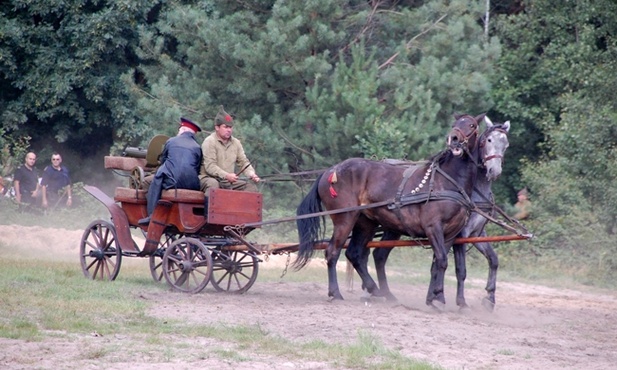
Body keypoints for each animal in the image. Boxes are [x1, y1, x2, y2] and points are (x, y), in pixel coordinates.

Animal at [294, 114, 482, 308]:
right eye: (454, 124)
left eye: (471, 125)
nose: (454, 139)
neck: (447, 181)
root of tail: (330, 171)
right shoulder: (433, 227)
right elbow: (442, 261)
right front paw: (436, 298)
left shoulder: (451, 233)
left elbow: (438, 264)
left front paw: (435, 297)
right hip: (345, 219)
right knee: (332, 252)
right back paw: (336, 293)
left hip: (365, 223)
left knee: (354, 254)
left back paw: (378, 291)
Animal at [360, 117, 510, 310]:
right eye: (488, 140)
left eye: (506, 144)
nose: (494, 171)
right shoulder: (460, 234)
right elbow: (459, 269)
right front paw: (459, 302)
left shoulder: (476, 233)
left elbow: (493, 259)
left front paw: (489, 298)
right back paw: (369, 292)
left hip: (392, 227)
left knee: (377, 255)